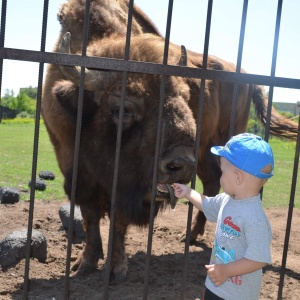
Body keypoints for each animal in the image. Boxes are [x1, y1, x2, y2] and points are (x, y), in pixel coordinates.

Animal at [41, 0, 298, 282]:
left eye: (185, 97)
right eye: (123, 108)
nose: (179, 164)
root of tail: (248, 78)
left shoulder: (124, 189)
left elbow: (118, 222)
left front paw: (116, 269)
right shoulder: (74, 170)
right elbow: (90, 218)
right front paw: (84, 264)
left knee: (215, 185)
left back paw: (189, 236)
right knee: (211, 184)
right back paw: (191, 236)